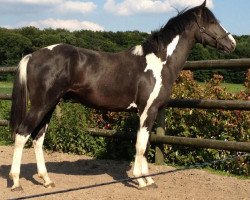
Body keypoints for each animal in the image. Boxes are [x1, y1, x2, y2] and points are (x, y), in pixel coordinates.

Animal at [9, 0, 236, 191]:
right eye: (212, 22)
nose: (232, 43)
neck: (159, 62)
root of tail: (33, 55)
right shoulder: (148, 110)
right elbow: (141, 145)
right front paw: (141, 181)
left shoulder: (148, 112)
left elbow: (145, 144)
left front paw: (148, 179)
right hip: (41, 105)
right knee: (22, 134)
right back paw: (16, 183)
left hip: (50, 105)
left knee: (38, 138)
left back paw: (46, 180)